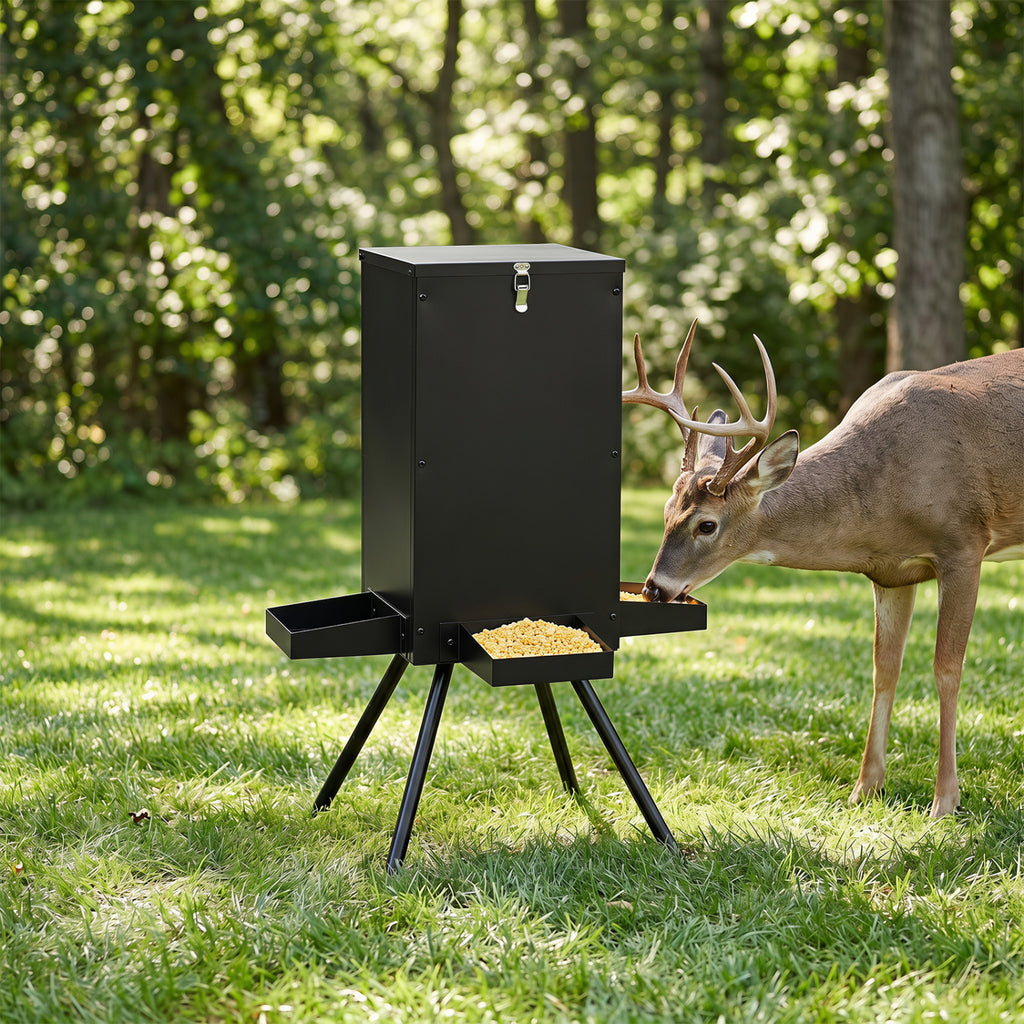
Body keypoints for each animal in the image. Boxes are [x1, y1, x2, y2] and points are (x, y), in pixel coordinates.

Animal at [623, 320, 1024, 818]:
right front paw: (865, 789)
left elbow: (947, 669)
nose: (654, 588)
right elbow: (884, 668)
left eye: (707, 524)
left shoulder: (964, 546)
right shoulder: (892, 572)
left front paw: (945, 801)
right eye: (664, 511)